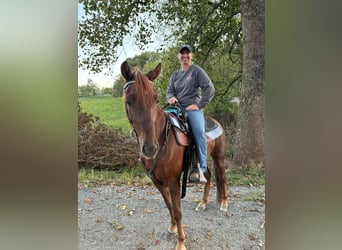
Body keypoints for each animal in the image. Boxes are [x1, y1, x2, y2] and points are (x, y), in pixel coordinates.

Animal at [121, 61, 228, 250]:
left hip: (219, 158)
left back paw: (223, 203)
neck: (163, 137)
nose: (150, 148)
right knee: (208, 177)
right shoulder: (157, 181)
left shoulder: (173, 181)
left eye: (155, 99)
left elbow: (178, 211)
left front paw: (181, 242)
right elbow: (169, 206)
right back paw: (203, 204)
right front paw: (171, 229)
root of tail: (215, 122)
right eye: (129, 100)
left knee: (222, 176)